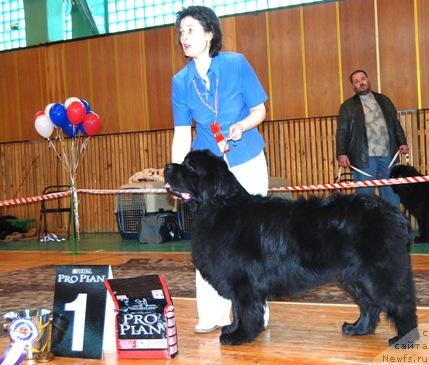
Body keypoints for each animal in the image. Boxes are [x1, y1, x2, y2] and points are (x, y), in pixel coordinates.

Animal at [163, 150, 414, 344]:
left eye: (189, 166)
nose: (166, 166)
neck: (218, 206)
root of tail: (392, 212)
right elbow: (237, 309)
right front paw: (233, 330)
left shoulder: (242, 280)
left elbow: (244, 310)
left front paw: (239, 336)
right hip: (354, 275)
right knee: (369, 304)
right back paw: (357, 329)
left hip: (377, 272)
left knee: (400, 302)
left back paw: (404, 338)